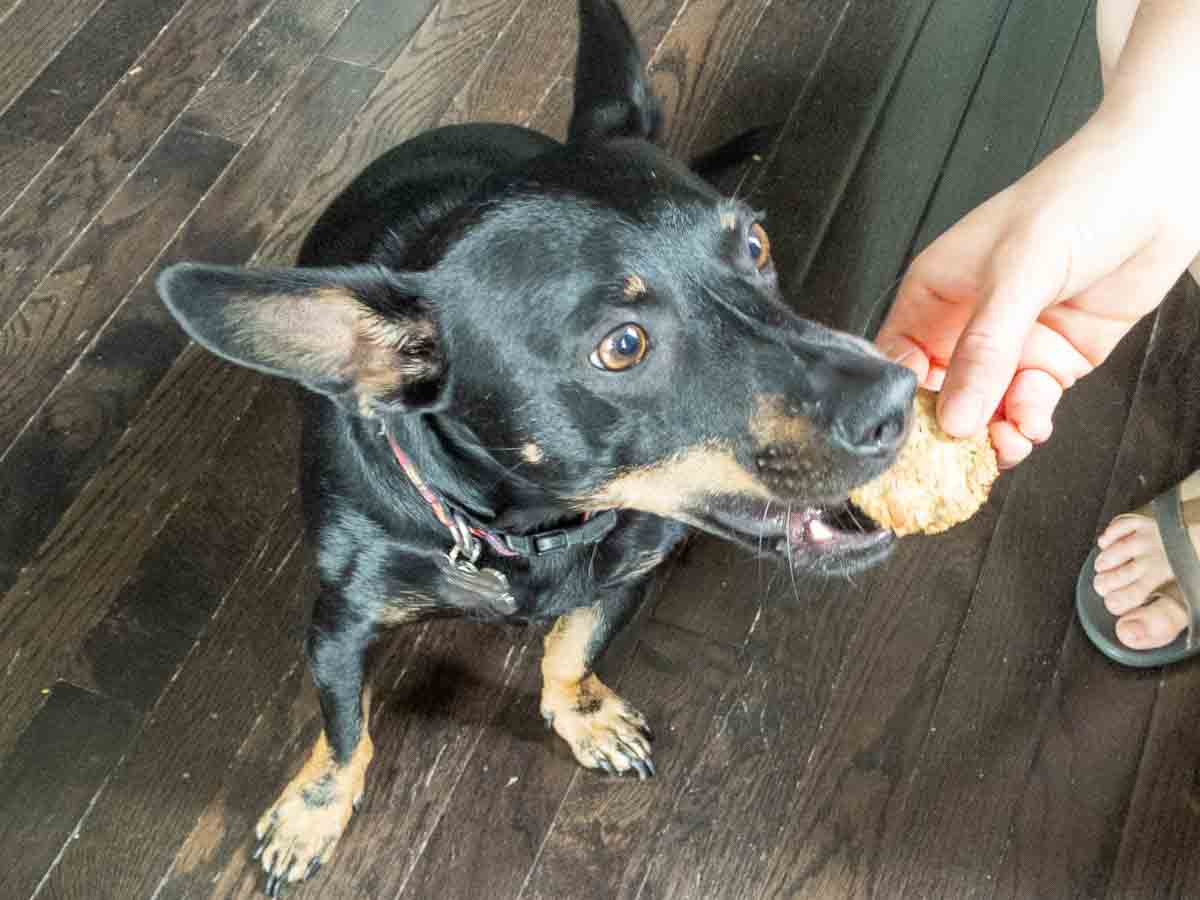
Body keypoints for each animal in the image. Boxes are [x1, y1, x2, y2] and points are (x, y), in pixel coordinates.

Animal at [154, 0, 912, 897]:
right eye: (622, 346)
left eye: (755, 247)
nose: (900, 401)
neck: (533, 528)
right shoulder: (339, 626)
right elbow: (345, 733)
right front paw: (313, 812)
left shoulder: (624, 576)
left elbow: (570, 650)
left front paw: (585, 717)